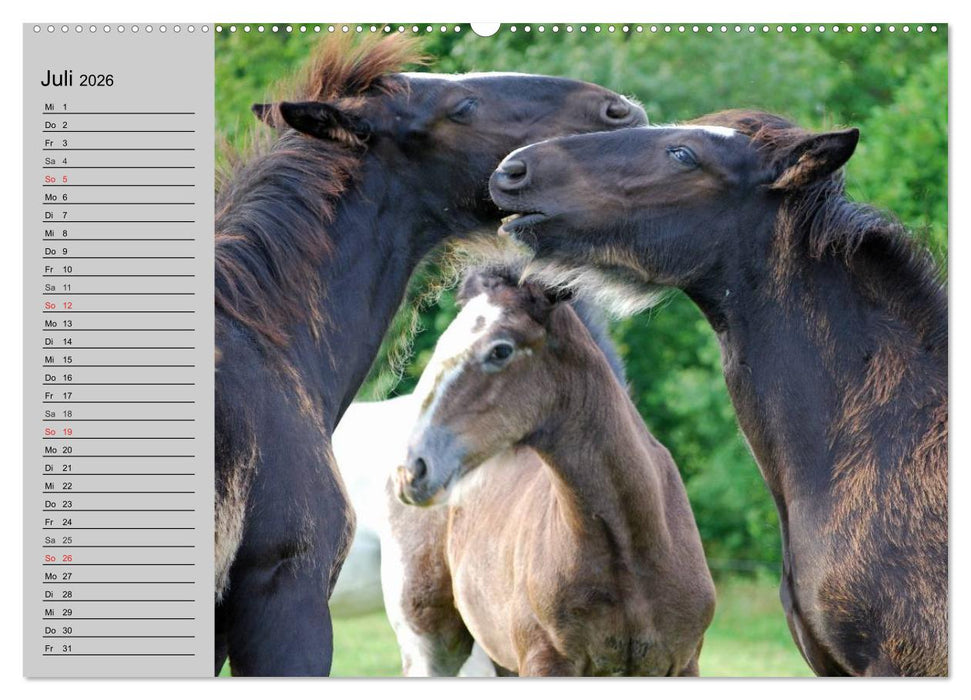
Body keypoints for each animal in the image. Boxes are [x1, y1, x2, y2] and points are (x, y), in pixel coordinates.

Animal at [391, 264, 716, 676]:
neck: (631, 548)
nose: (412, 470)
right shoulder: (546, 662)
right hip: (430, 644)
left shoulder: (683, 662)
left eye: (500, 350)